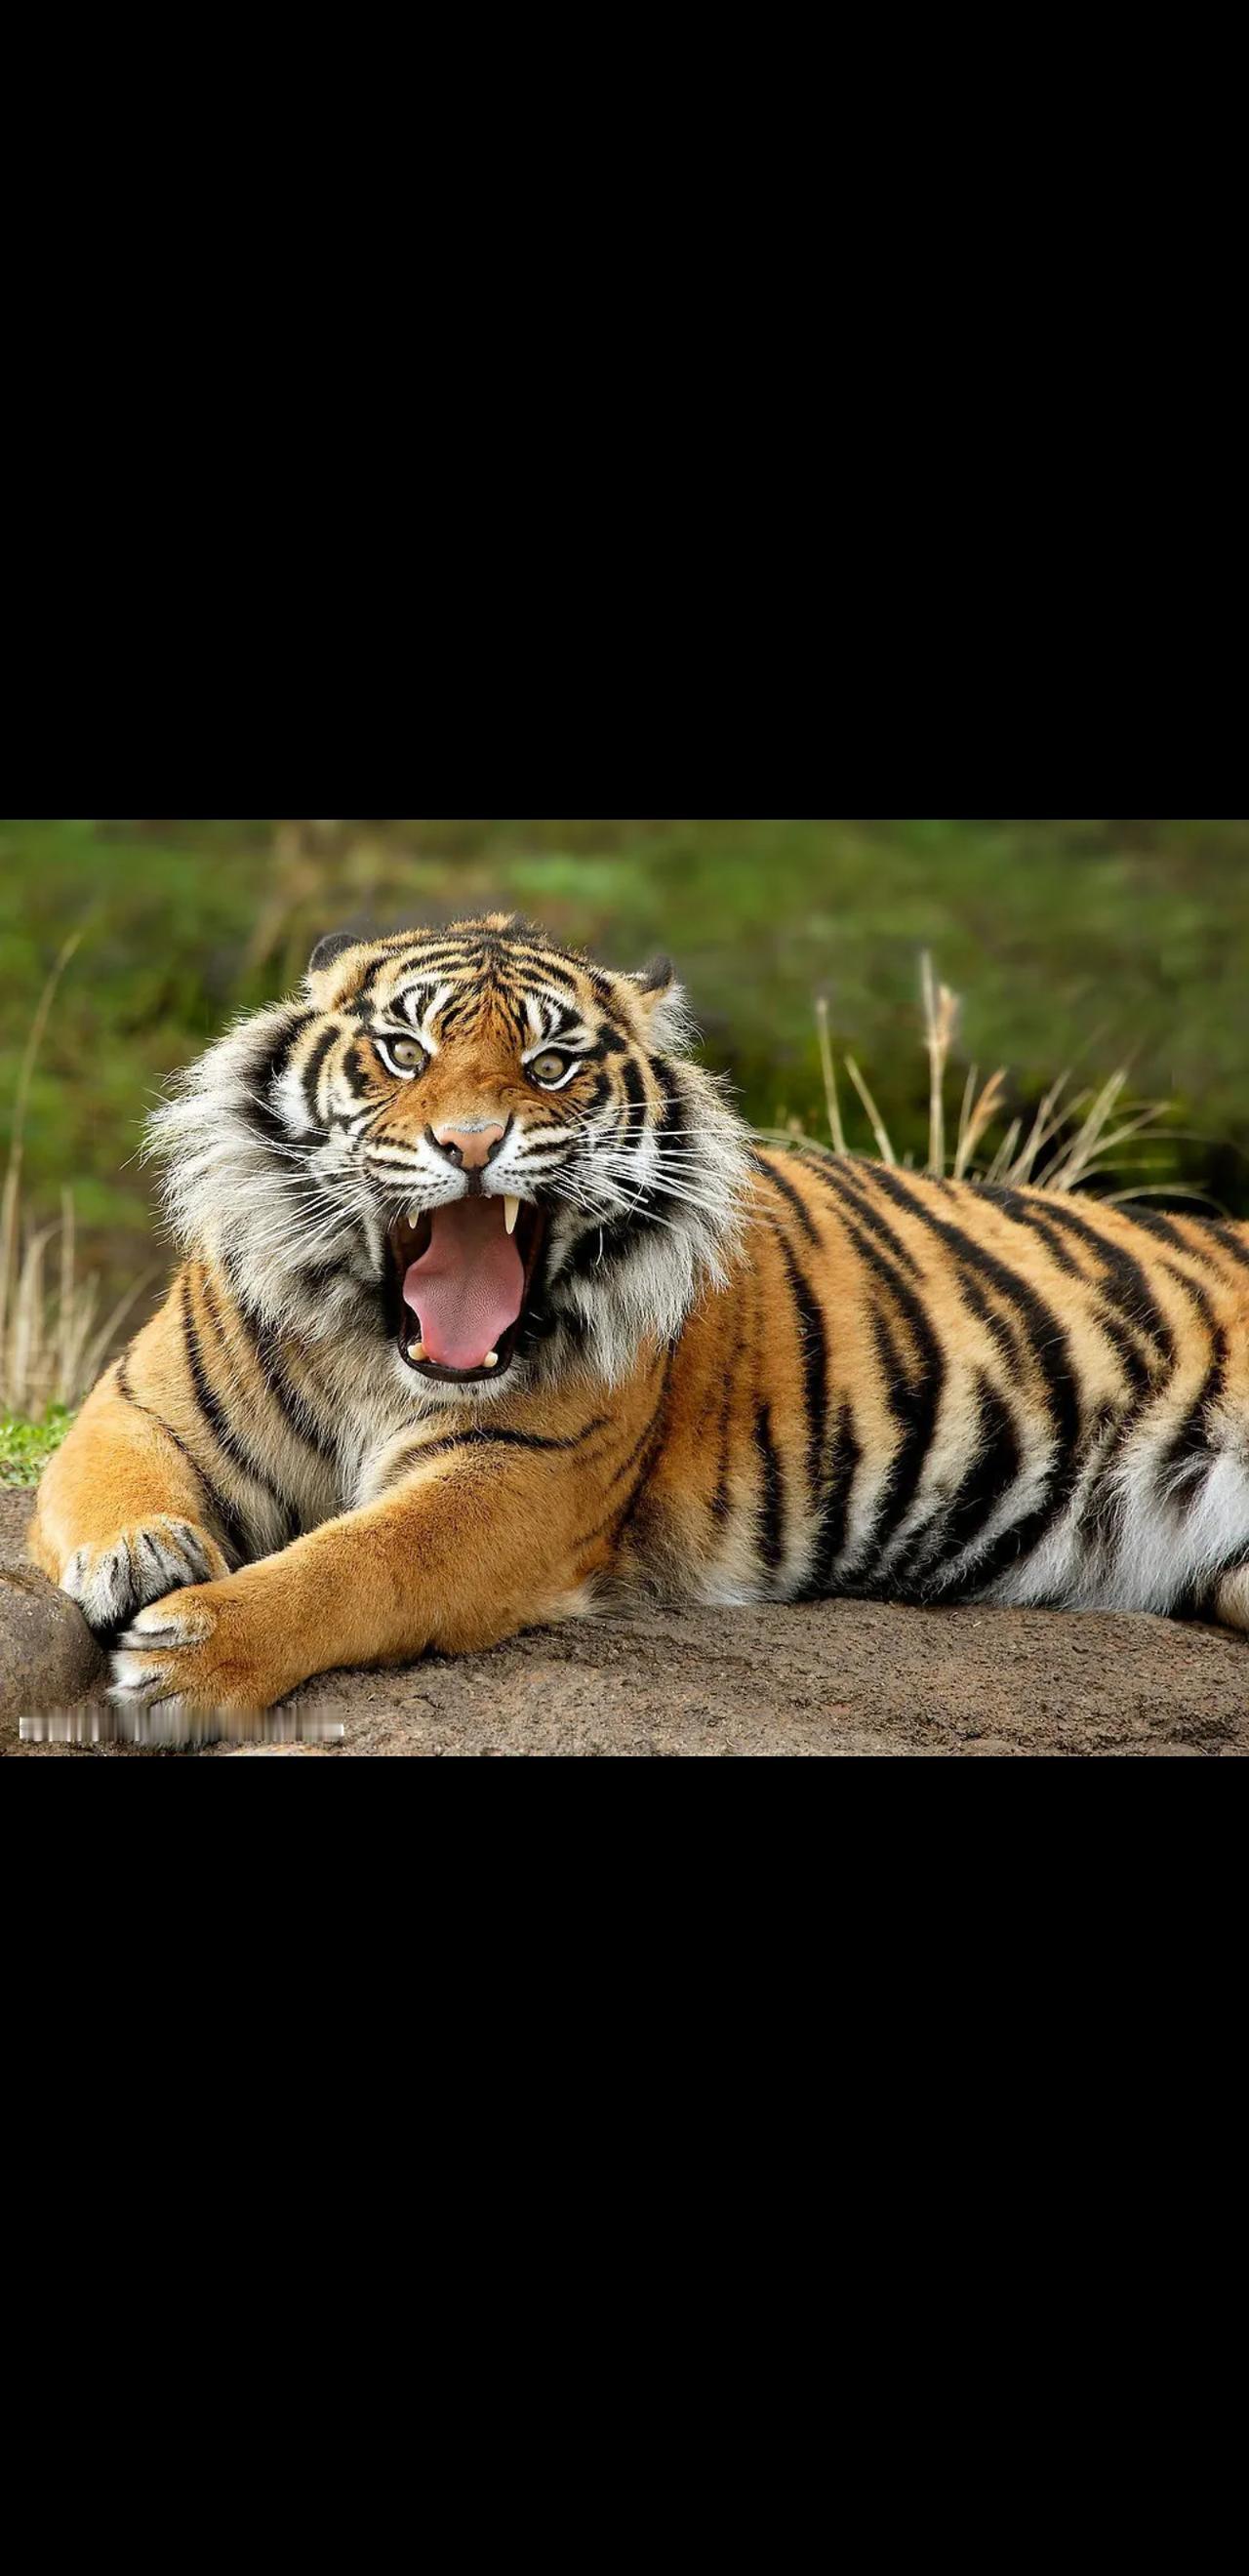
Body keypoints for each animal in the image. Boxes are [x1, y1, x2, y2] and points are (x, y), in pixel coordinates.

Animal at [27, 911, 1249, 1721]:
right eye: (404, 1053)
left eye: (550, 1062)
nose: (469, 1143)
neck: (378, 1352)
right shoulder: (138, 1403)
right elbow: (110, 1482)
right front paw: (143, 1556)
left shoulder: (513, 1477)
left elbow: (358, 1562)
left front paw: (190, 1654)